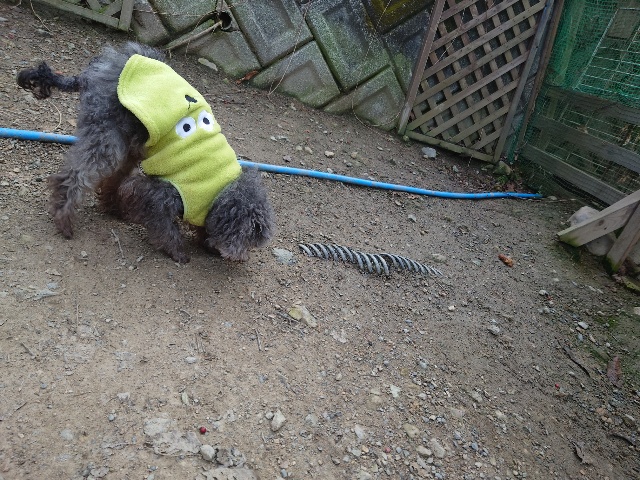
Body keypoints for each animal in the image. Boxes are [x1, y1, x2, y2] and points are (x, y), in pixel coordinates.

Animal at [17, 42, 274, 263]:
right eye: (250, 239)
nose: (242, 258)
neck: (220, 187)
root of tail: (97, 69)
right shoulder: (160, 193)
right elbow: (164, 225)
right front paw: (178, 251)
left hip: (130, 141)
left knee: (112, 177)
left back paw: (112, 209)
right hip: (107, 136)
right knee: (75, 176)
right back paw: (65, 221)